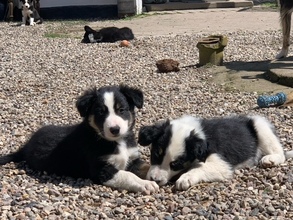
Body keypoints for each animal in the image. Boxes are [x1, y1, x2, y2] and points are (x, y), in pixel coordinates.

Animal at [0, 84, 159, 194]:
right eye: (100, 112)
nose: (115, 129)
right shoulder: (101, 169)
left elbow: (146, 166)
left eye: (121, 110)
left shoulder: (133, 159)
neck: (117, 141)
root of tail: (25, 146)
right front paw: (145, 184)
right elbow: (127, 175)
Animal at [138, 115, 292, 191]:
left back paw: (270, 159)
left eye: (176, 164)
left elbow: (200, 168)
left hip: (261, 127)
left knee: (279, 152)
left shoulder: (222, 163)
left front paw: (185, 178)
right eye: (156, 154)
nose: (154, 179)